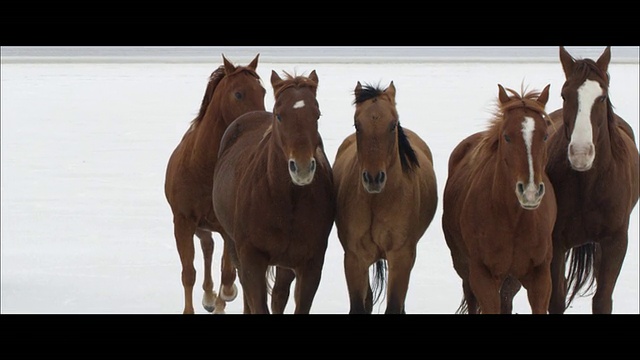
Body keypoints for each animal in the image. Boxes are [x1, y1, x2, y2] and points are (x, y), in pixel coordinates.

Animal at [165, 54, 268, 316]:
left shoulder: (227, 227)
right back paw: (209, 296)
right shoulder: (183, 222)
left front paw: (226, 294)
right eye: (239, 94)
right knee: (207, 247)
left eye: (263, 91)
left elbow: (229, 273)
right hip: (199, 226)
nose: (264, 121)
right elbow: (188, 273)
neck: (202, 166)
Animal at [214, 69, 336, 314]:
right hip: (233, 245)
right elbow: (256, 301)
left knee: (279, 294)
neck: (285, 201)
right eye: (279, 116)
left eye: (317, 115)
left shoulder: (311, 264)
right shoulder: (251, 259)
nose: (302, 168)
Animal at [330, 81, 440, 312]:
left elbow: (395, 305)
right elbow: (359, 305)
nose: (373, 178)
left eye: (392, 125)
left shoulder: (401, 257)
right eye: (357, 124)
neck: (377, 202)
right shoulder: (354, 259)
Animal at [442, 83, 556, 314]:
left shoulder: (540, 276)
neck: (514, 221)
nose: (530, 191)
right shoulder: (482, 276)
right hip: (465, 268)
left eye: (545, 136)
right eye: (507, 136)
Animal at [544, 46, 640, 314]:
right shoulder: (555, 244)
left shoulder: (615, 243)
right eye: (564, 95)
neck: (588, 187)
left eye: (602, 97)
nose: (580, 153)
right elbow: (556, 299)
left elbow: (602, 300)